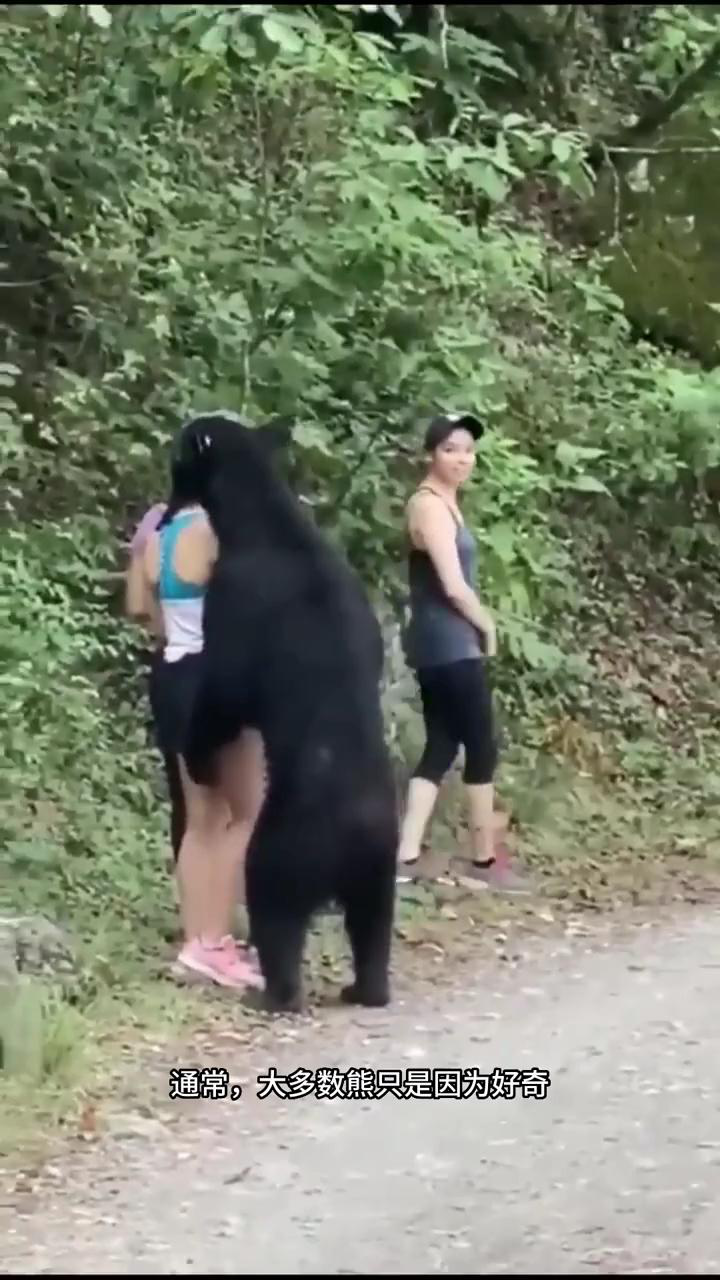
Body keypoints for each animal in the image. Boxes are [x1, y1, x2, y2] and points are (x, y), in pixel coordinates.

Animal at [181, 413, 398, 1014]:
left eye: (178, 451)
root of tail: (356, 827)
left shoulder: (235, 595)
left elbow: (225, 691)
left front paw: (198, 751)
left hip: (290, 840)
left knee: (273, 901)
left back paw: (276, 992)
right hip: (381, 861)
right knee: (373, 924)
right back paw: (366, 987)